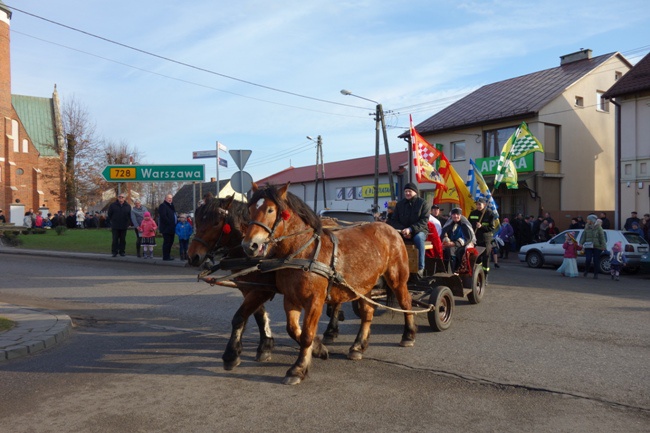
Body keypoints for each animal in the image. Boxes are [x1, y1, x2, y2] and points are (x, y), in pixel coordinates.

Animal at [239, 182, 416, 384]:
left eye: (269, 209)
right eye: (250, 210)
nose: (249, 245)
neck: (302, 252)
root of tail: (390, 228)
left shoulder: (315, 301)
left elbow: (306, 334)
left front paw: (298, 369)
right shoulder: (290, 299)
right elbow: (293, 329)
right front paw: (318, 349)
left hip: (397, 279)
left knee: (406, 303)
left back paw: (408, 335)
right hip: (364, 285)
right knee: (367, 312)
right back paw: (358, 346)